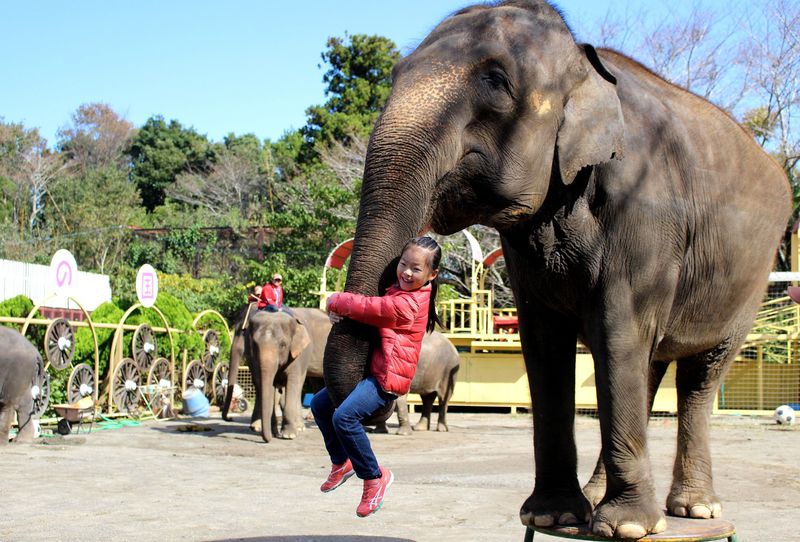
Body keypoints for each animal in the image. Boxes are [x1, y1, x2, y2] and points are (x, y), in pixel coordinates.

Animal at [220, 308, 330, 444]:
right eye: (254, 344)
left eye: (283, 345)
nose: (230, 418)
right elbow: (266, 385)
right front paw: (272, 431)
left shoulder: (298, 355)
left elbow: (292, 381)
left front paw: (288, 435)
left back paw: (300, 426)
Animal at [320, 2, 792, 540]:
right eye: (396, 75)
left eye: (497, 82)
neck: (586, 67)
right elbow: (544, 343)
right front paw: (551, 516)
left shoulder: (644, 214)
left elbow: (618, 331)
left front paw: (627, 527)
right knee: (649, 365)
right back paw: (601, 496)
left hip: (749, 281)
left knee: (697, 373)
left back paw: (694, 511)